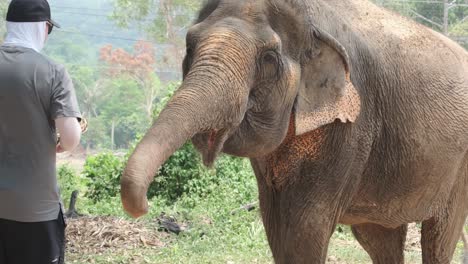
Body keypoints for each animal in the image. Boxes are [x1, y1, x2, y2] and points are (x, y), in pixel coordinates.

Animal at [120, 0, 468, 262]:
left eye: (268, 58)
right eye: (190, 47)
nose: (147, 209)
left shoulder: (350, 123)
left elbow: (307, 224)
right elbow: (275, 222)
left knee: (439, 237)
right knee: (378, 236)